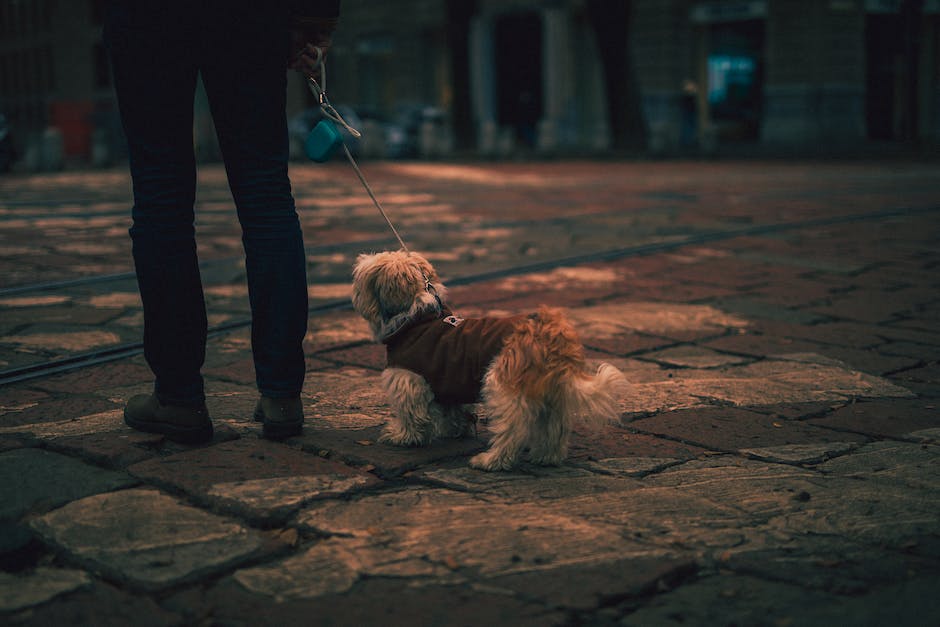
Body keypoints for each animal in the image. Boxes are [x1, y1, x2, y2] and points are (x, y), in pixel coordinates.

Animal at [352, 250, 624, 472]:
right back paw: (546, 456)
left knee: (513, 429)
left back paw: (492, 461)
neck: (418, 318)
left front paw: (402, 437)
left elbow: (411, 413)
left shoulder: (408, 378)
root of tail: (550, 334)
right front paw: (452, 430)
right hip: (550, 393)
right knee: (554, 426)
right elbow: (453, 409)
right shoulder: (448, 380)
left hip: (502, 385)